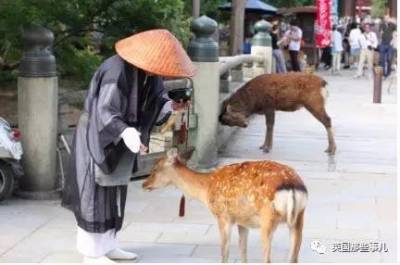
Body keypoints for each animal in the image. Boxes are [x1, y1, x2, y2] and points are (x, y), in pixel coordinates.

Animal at [142, 148, 308, 262]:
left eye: (155, 168)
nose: (144, 184)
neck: (207, 188)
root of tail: (292, 186)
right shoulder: (242, 221)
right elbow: (243, 250)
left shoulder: (223, 216)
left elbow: (224, 252)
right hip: (299, 218)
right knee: (294, 258)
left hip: (267, 219)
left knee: (268, 259)